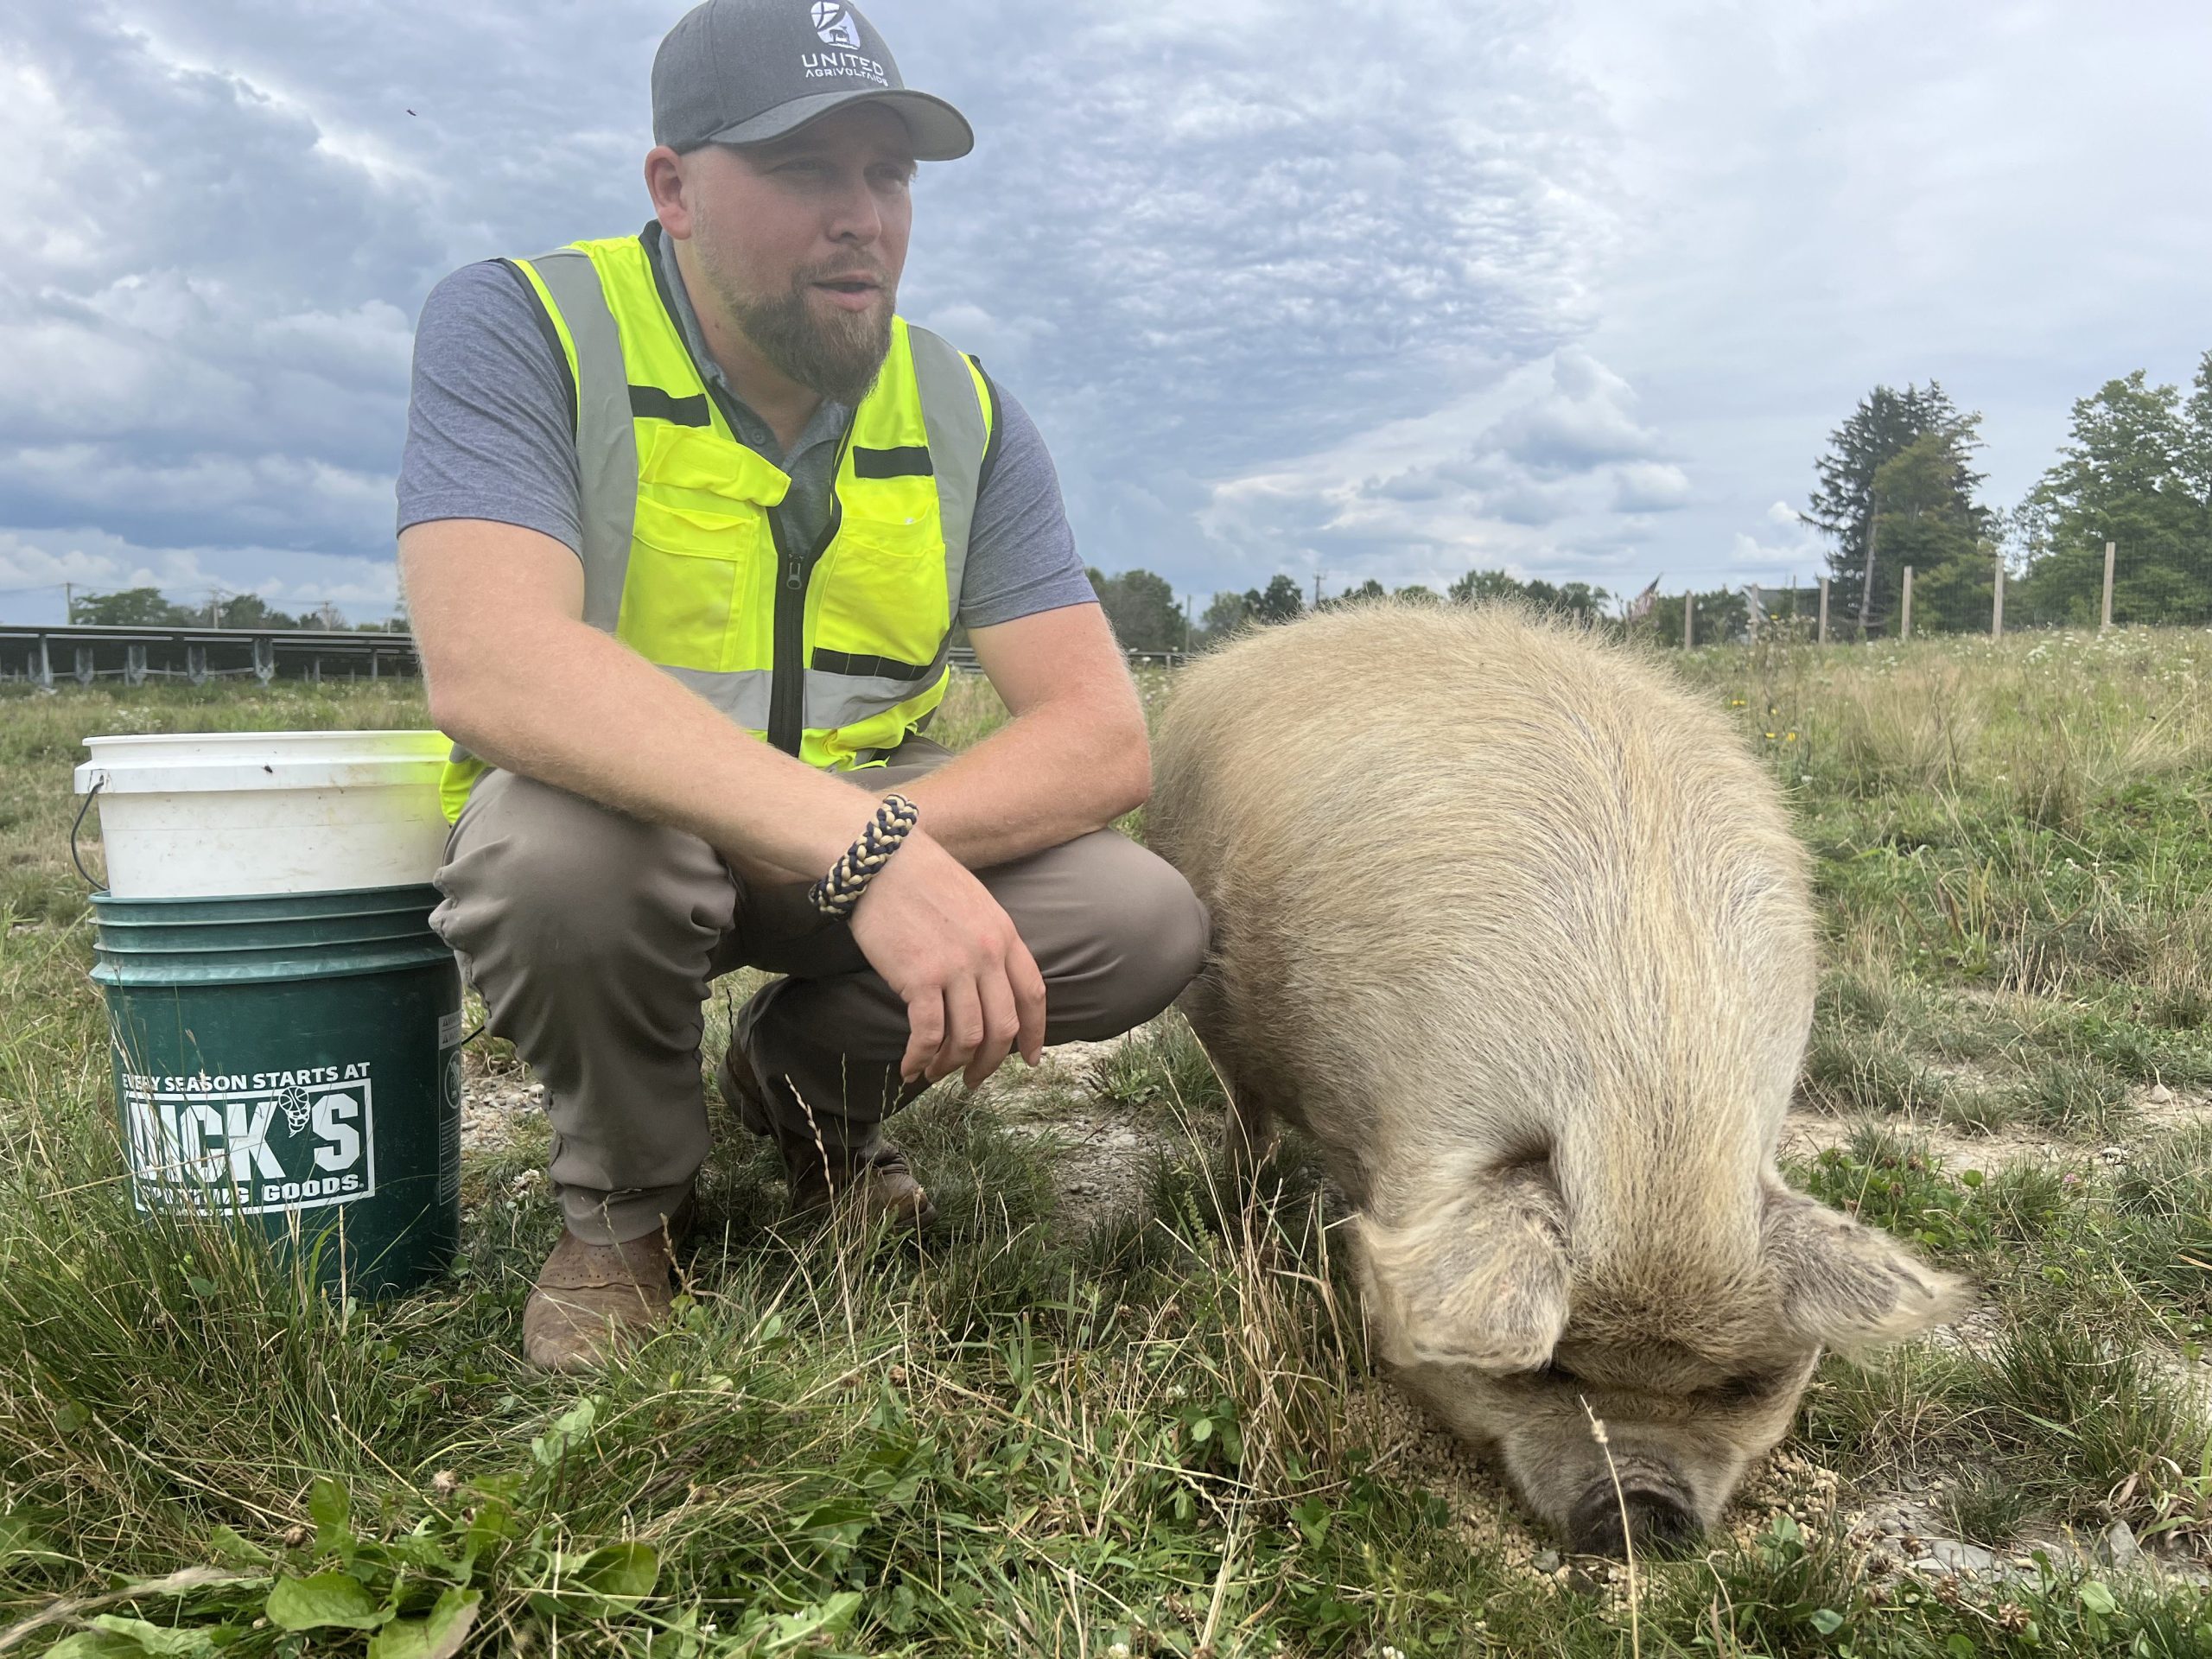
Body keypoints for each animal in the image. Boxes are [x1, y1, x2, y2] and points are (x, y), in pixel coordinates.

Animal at [1147, 603, 1963, 1555]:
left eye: (1740, 1386)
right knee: (1242, 1099)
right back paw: (1239, 1193)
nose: (1642, 1508)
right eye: (1545, 1371)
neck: (1650, 1109)